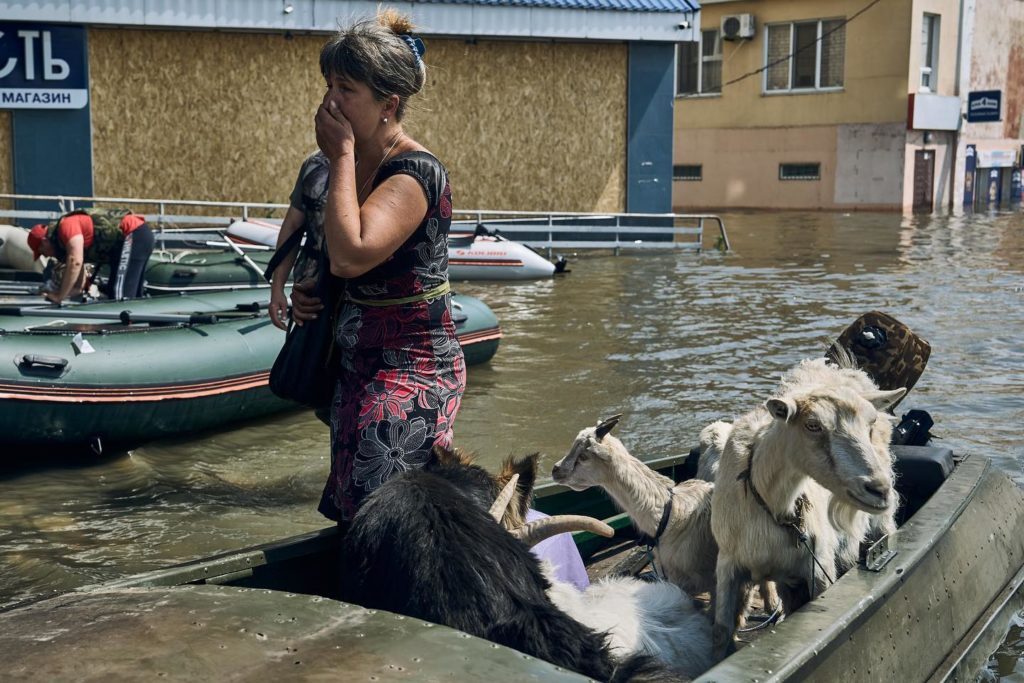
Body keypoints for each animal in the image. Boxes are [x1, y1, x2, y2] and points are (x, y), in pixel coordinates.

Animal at [708, 358, 901, 663]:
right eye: (812, 425)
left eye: (870, 424)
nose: (880, 490)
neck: (772, 503)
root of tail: (840, 368)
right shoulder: (728, 563)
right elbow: (721, 631)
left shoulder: (819, 566)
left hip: (878, 520)